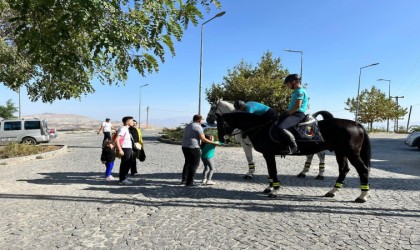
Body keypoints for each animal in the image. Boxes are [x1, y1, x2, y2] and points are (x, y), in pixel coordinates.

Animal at [217, 111, 370, 203]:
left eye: (221, 124)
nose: (221, 139)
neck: (261, 128)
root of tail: (356, 124)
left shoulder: (269, 154)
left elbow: (272, 171)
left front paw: (274, 191)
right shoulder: (268, 155)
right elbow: (270, 172)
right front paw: (270, 188)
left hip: (351, 153)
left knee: (362, 170)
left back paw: (362, 196)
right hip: (341, 152)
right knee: (343, 170)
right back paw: (333, 191)